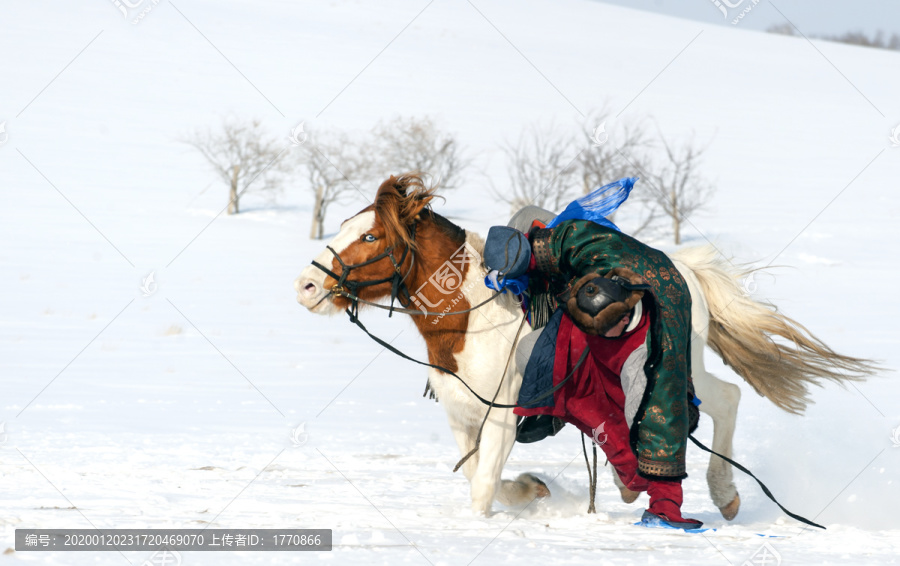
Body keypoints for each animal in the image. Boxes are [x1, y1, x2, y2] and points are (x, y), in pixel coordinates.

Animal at [298, 175, 876, 520]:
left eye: (370, 237)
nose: (306, 285)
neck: (474, 318)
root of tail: (685, 268)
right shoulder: (463, 416)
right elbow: (478, 476)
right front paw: (530, 490)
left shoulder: (501, 415)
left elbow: (482, 489)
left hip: (674, 369)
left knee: (726, 400)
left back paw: (722, 494)